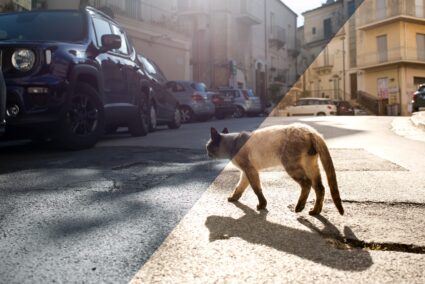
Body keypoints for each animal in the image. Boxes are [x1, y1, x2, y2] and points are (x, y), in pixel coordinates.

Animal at [207, 123, 342, 215]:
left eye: (208, 147)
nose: (206, 153)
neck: (231, 144)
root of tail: (310, 130)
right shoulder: (245, 172)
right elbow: (239, 188)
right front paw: (233, 199)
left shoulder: (249, 169)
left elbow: (256, 189)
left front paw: (262, 205)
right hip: (310, 166)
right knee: (320, 187)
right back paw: (315, 211)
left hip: (291, 165)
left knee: (307, 183)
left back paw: (299, 208)